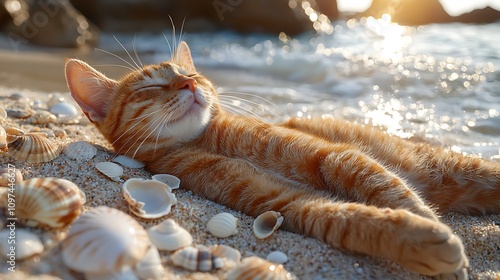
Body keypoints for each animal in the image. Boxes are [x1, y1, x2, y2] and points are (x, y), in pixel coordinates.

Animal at [65, 41, 500, 278]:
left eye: (194, 75)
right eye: (151, 86)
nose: (189, 83)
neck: (209, 140)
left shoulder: (334, 156)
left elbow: (393, 193)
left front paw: (430, 228)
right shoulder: (285, 203)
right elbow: (351, 220)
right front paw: (422, 242)